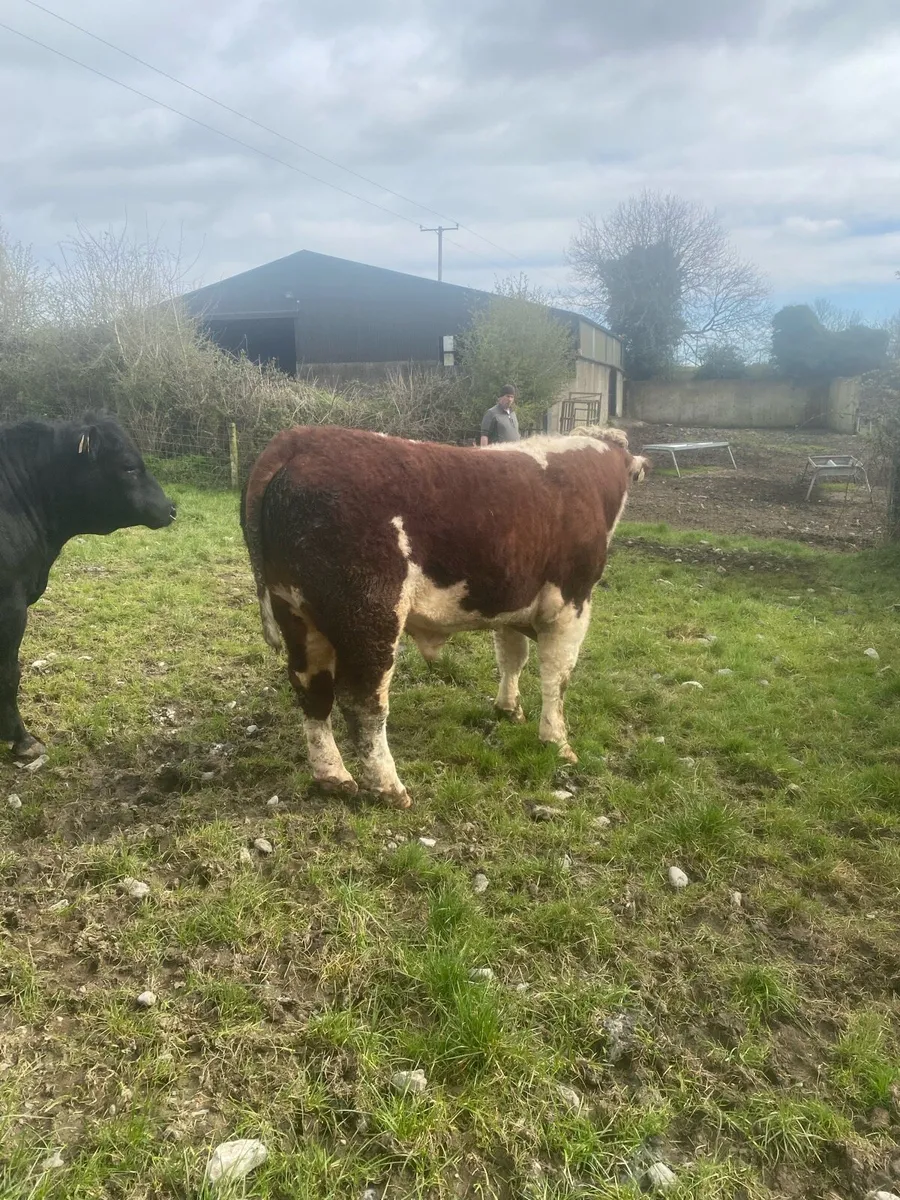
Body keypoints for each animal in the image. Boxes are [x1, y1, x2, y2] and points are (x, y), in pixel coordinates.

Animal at [241, 424, 649, 808]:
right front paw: (557, 742)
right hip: (371, 618)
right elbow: (557, 676)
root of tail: (300, 438)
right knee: (362, 702)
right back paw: (389, 788)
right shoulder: (571, 603)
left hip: (296, 614)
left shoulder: (511, 603)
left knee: (311, 688)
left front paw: (509, 709)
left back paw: (333, 776)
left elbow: (512, 659)